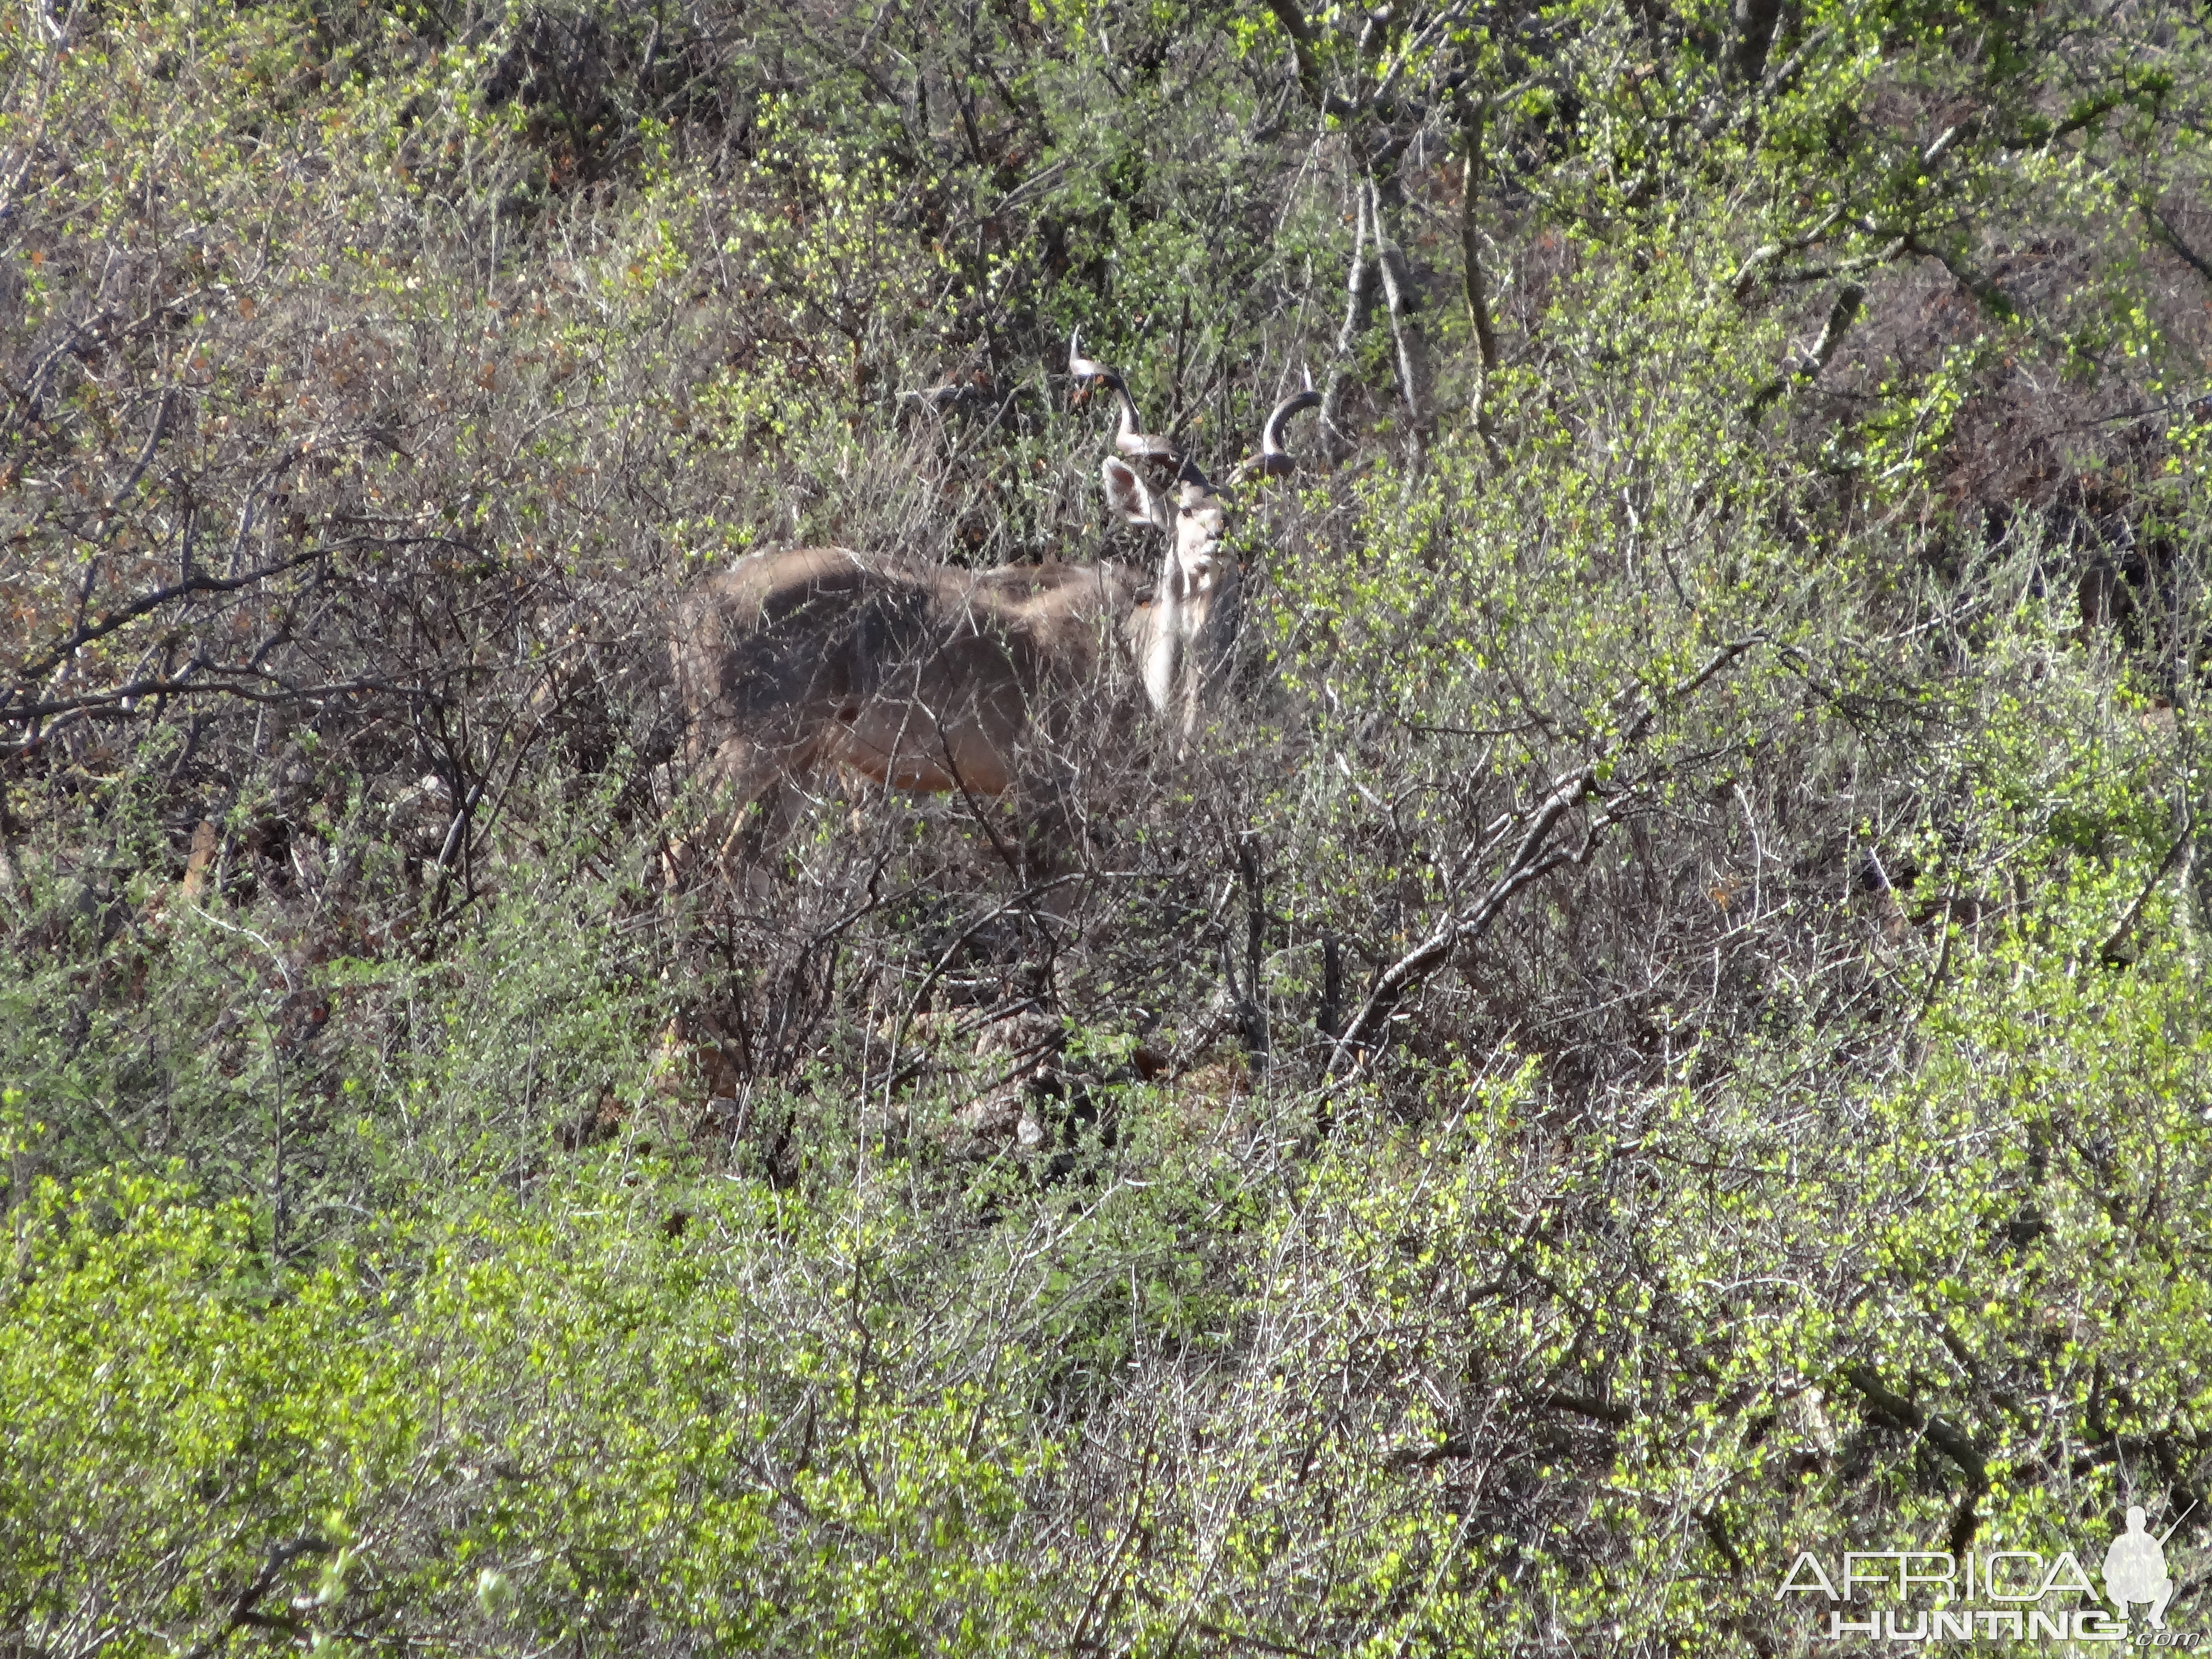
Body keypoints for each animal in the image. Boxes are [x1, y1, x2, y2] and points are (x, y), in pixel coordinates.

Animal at [663, 345, 1318, 876]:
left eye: (1239, 511)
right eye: (1184, 510)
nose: (1221, 538)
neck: (1141, 659)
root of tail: (694, 607)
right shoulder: (1048, 795)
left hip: (800, 761)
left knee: (740, 860)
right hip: (748, 746)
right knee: (683, 850)